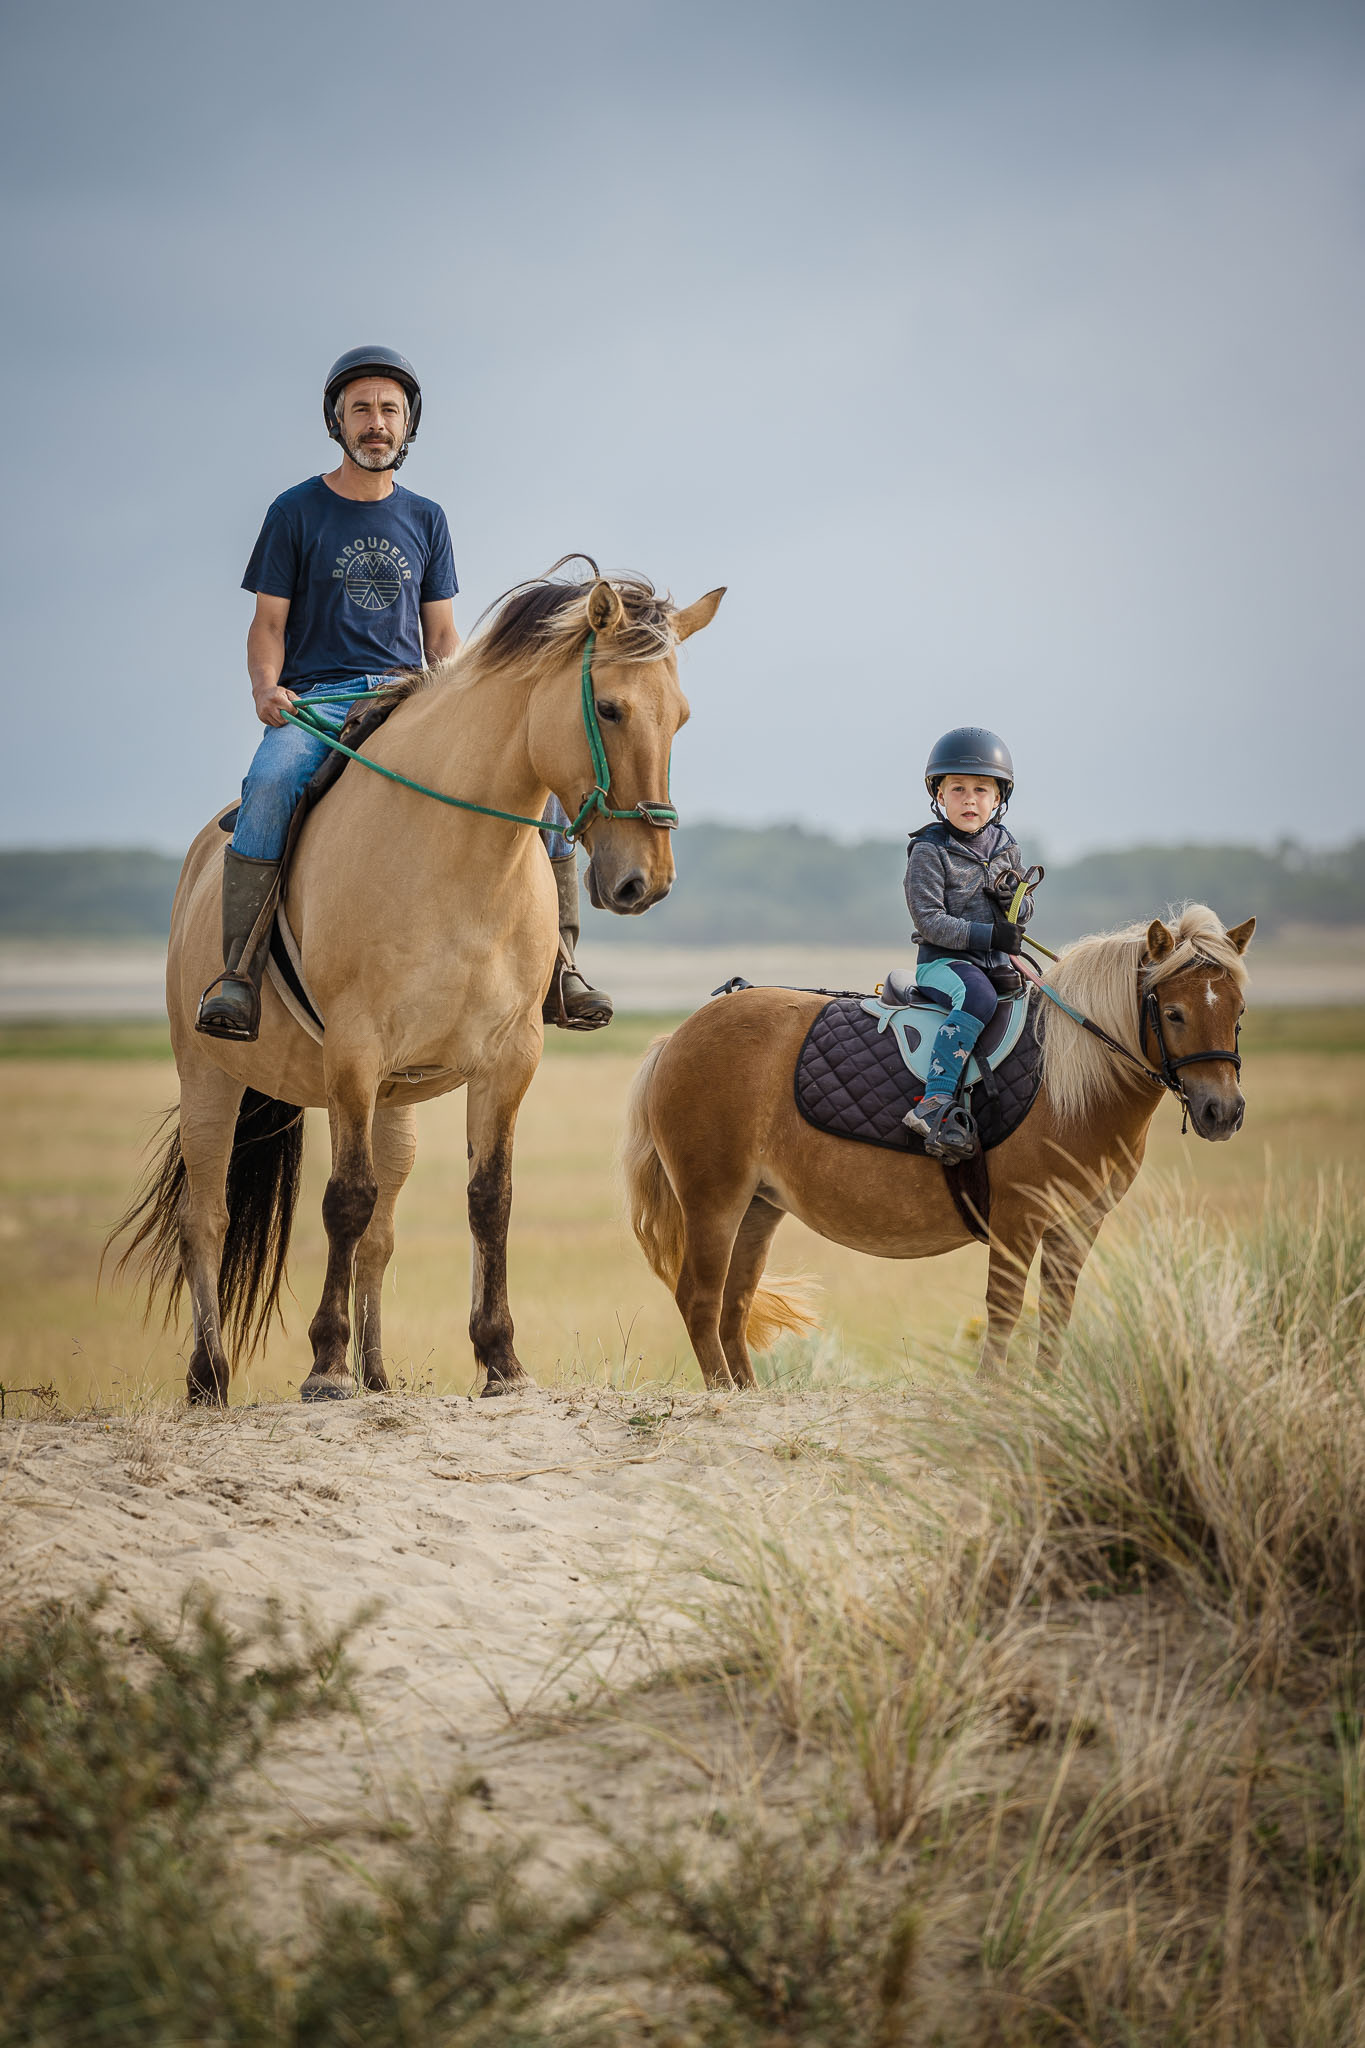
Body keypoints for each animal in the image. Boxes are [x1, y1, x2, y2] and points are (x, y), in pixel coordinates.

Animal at [108, 566, 724, 1404]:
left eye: (681, 718)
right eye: (608, 708)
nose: (644, 884)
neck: (455, 856)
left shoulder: (507, 1061)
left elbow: (487, 1201)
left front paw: (500, 1359)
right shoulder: (353, 1054)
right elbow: (344, 1200)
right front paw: (325, 1366)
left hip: (393, 1103)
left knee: (381, 1233)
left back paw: (377, 1376)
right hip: (211, 1075)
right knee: (207, 1219)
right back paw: (211, 1379)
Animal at [622, 905, 1254, 1384]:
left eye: (1238, 1009)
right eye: (1173, 1012)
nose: (1221, 1112)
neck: (1066, 1078)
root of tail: (679, 1036)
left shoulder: (1077, 1223)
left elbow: (1056, 1312)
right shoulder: (1018, 1219)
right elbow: (1005, 1309)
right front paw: (990, 1394)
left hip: (758, 1207)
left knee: (732, 1306)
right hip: (714, 1201)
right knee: (700, 1301)